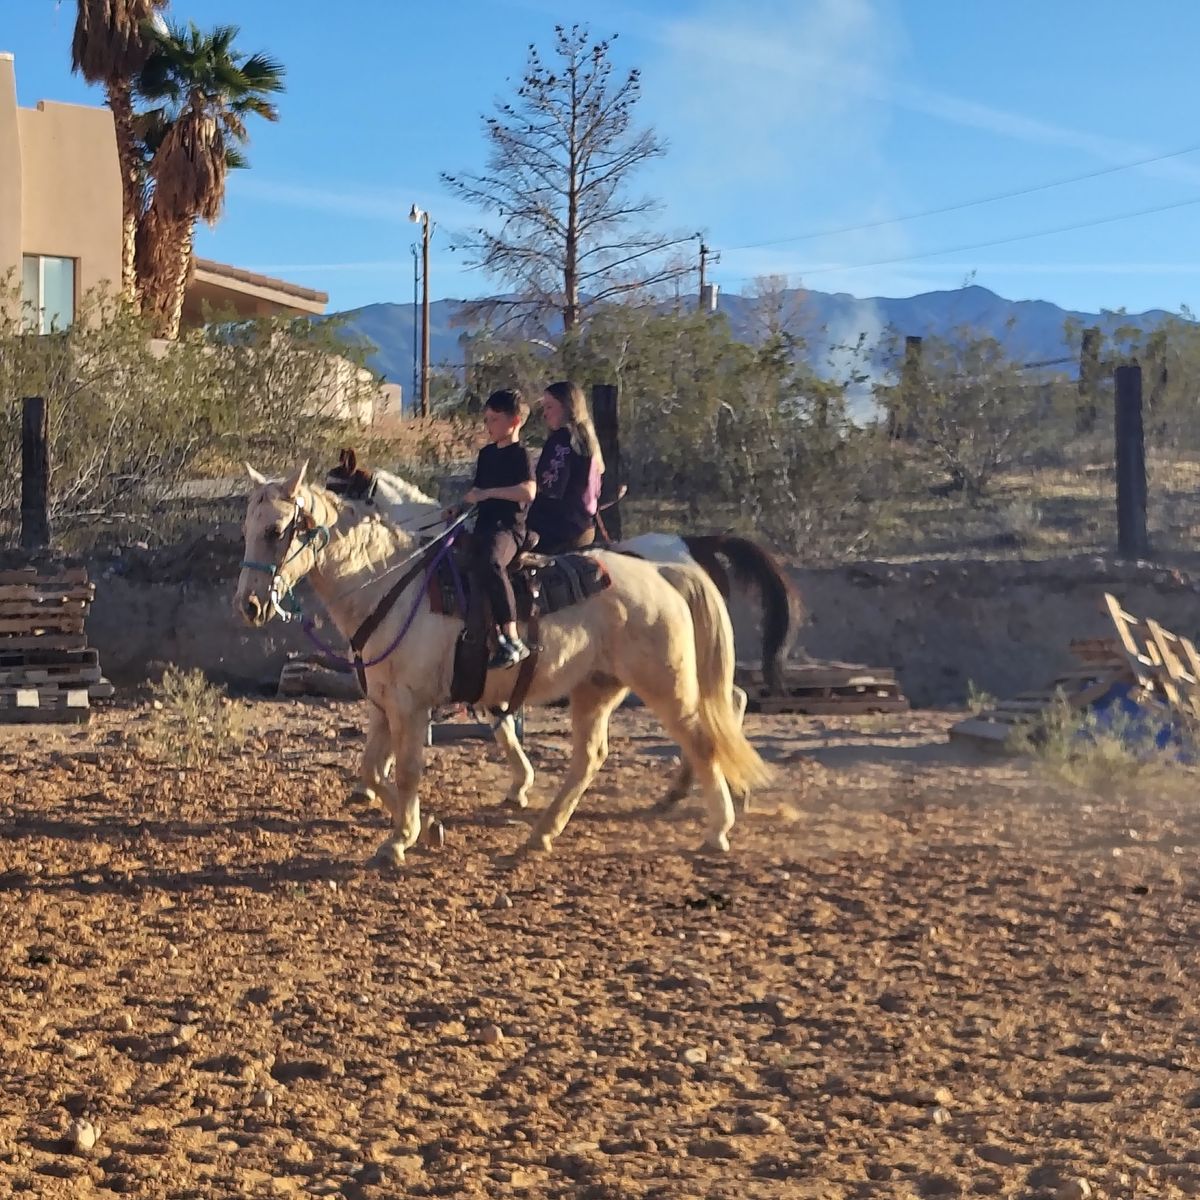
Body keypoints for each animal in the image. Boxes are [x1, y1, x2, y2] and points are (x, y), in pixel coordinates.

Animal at [234, 462, 772, 865]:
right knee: (591, 757)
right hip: (596, 688)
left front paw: (399, 840)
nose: (250, 606)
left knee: (704, 737)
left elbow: (407, 771)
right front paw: (426, 825)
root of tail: (662, 569)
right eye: (247, 530)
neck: (391, 583)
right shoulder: (382, 705)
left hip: (667, 684)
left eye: (276, 530)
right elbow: (371, 770)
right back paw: (543, 833)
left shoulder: (411, 705)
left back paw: (716, 828)